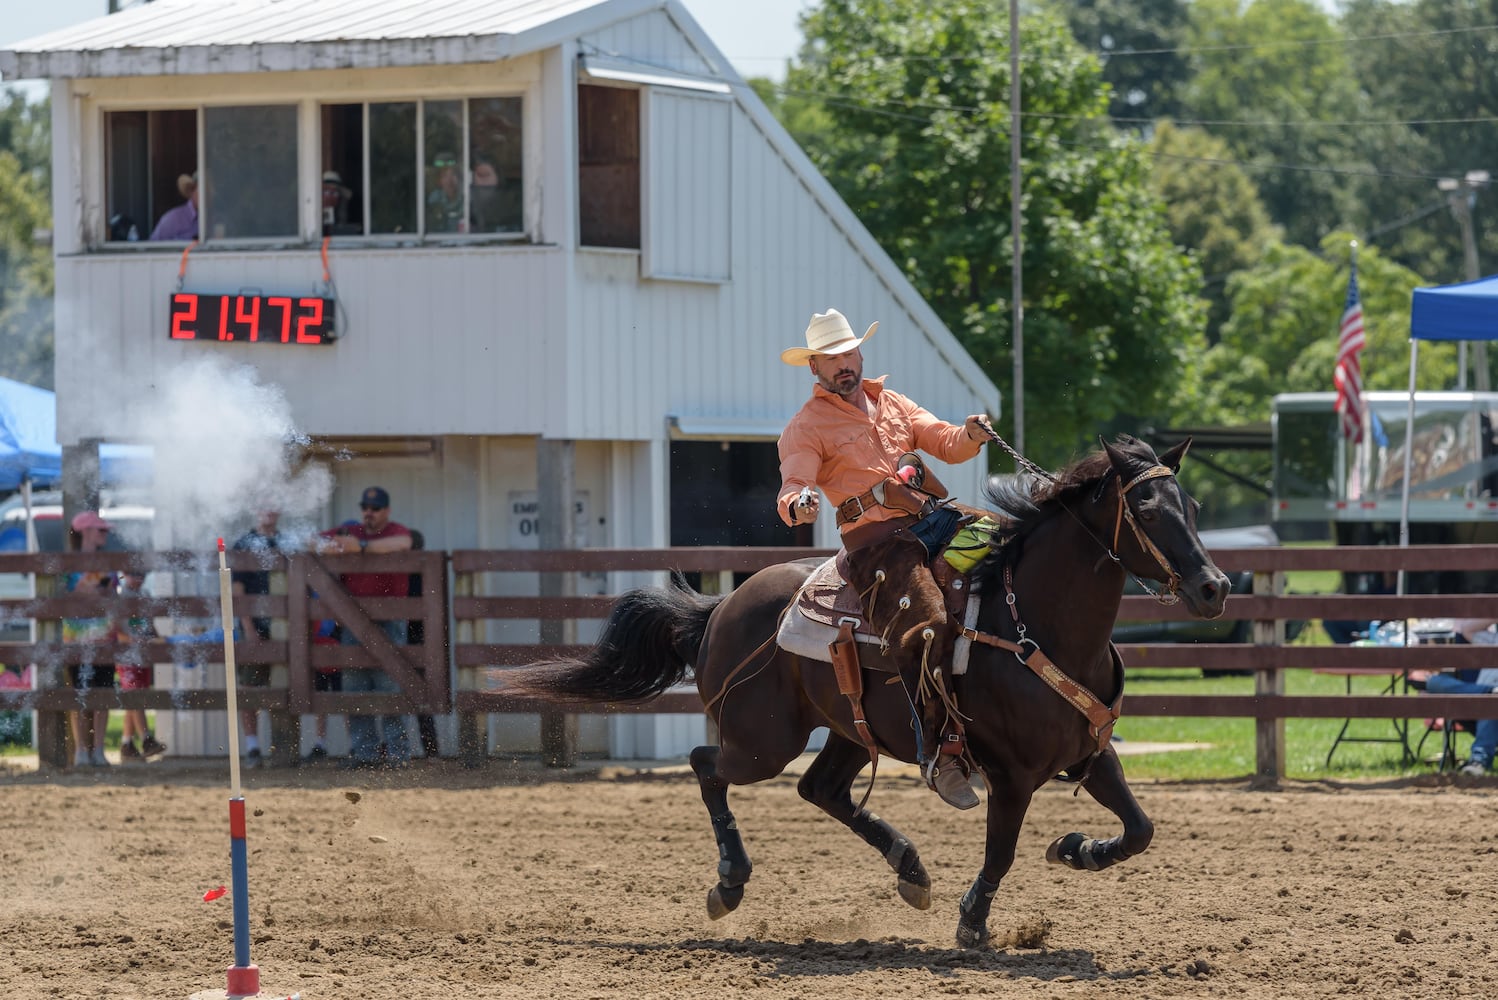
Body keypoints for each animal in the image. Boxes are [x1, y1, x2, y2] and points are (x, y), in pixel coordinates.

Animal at [506, 437, 1228, 946]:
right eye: (1145, 510)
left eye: (1193, 508)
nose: (1214, 587)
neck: (1034, 623)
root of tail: (722, 608)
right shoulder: (1013, 774)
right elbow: (1001, 849)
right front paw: (973, 922)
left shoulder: (1091, 753)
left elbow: (1140, 829)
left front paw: (1075, 848)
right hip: (763, 740)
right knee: (707, 765)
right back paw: (730, 882)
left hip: (853, 729)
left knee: (818, 788)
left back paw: (909, 870)